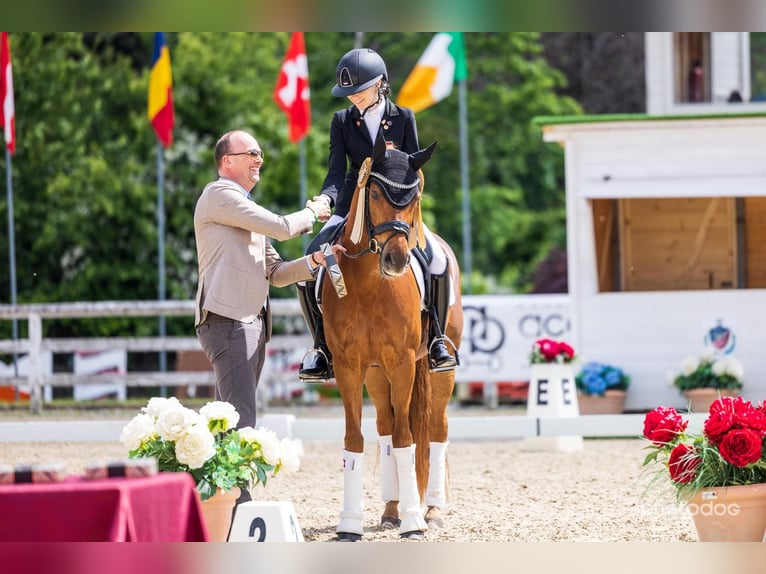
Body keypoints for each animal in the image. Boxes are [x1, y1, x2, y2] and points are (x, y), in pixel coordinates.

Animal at [320, 133, 464, 544]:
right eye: (374, 193)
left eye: (414, 196)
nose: (396, 260)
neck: (370, 282)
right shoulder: (350, 366)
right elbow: (356, 440)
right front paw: (349, 524)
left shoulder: (401, 362)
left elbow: (406, 439)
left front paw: (415, 524)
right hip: (375, 373)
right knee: (385, 426)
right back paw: (390, 510)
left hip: (437, 368)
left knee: (435, 428)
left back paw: (431, 511)